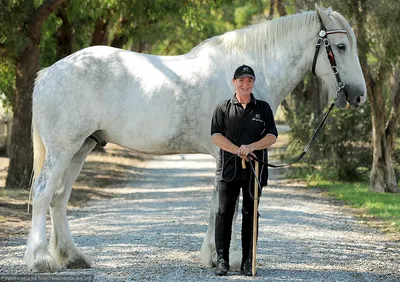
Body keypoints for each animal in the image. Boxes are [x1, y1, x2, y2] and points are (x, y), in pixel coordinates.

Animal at [23, 4, 364, 274]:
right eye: (341, 47)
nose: (358, 96)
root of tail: (48, 72)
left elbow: (218, 203)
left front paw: (214, 256)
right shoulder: (228, 153)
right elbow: (227, 204)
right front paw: (228, 258)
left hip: (81, 147)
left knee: (59, 198)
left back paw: (72, 257)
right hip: (63, 148)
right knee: (43, 193)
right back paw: (39, 260)